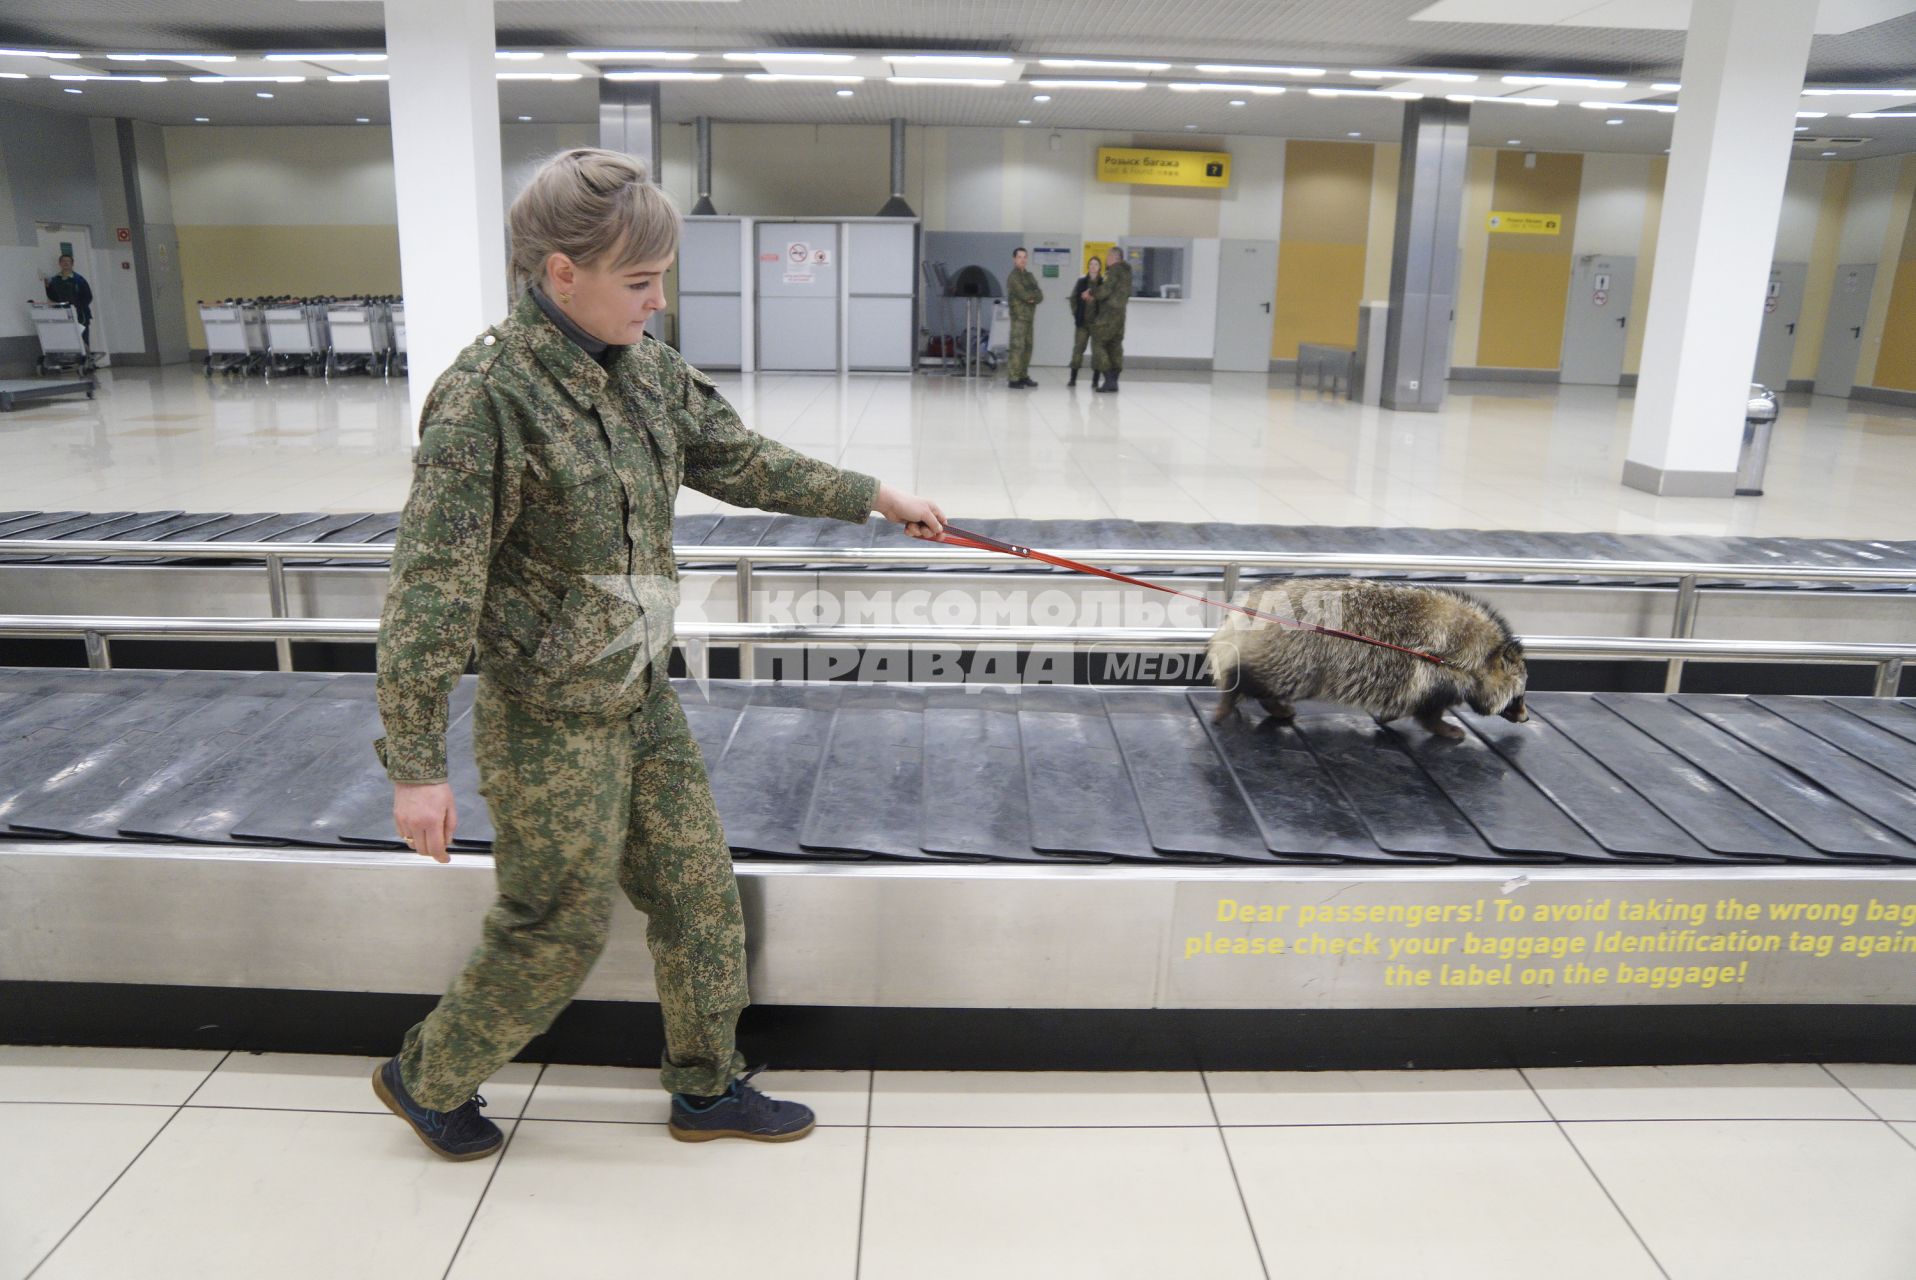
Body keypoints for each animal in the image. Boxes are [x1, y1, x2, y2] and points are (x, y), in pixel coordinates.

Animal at [1203, 578, 1532, 739]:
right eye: (1519, 696)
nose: (1527, 717)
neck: (1479, 655)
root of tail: (1249, 606)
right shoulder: (1431, 670)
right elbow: (1429, 710)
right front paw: (1443, 727)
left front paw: (1390, 715)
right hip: (1296, 655)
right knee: (1257, 677)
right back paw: (1235, 695)